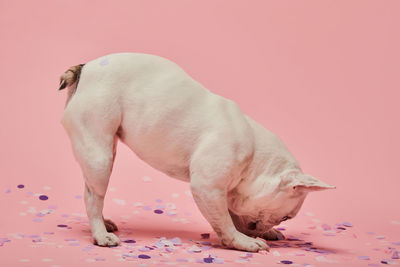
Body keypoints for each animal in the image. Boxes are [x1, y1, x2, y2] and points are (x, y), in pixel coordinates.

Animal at [59, 52, 334, 253]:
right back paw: (101, 234)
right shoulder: (207, 188)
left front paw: (257, 232)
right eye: (286, 217)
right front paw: (243, 241)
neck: (255, 157)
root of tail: (86, 68)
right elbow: (225, 221)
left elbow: (234, 215)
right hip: (99, 155)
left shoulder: (225, 192)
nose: (274, 224)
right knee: (93, 196)